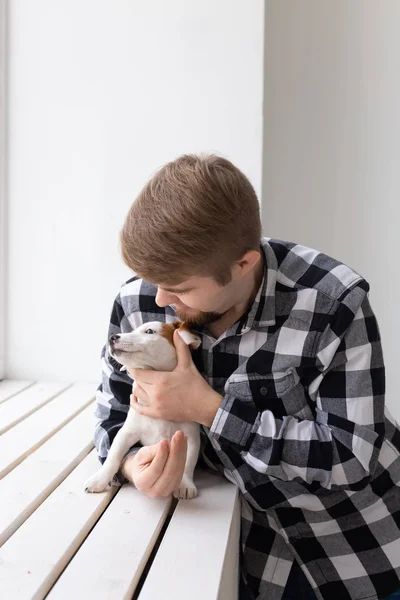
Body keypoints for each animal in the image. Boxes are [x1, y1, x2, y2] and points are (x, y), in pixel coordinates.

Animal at [85, 322, 202, 500]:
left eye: (149, 331)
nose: (112, 337)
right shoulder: (127, 433)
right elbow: (113, 456)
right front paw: (100, 479)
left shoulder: (191, 437)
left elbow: (188, 462)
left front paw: (185, 484)